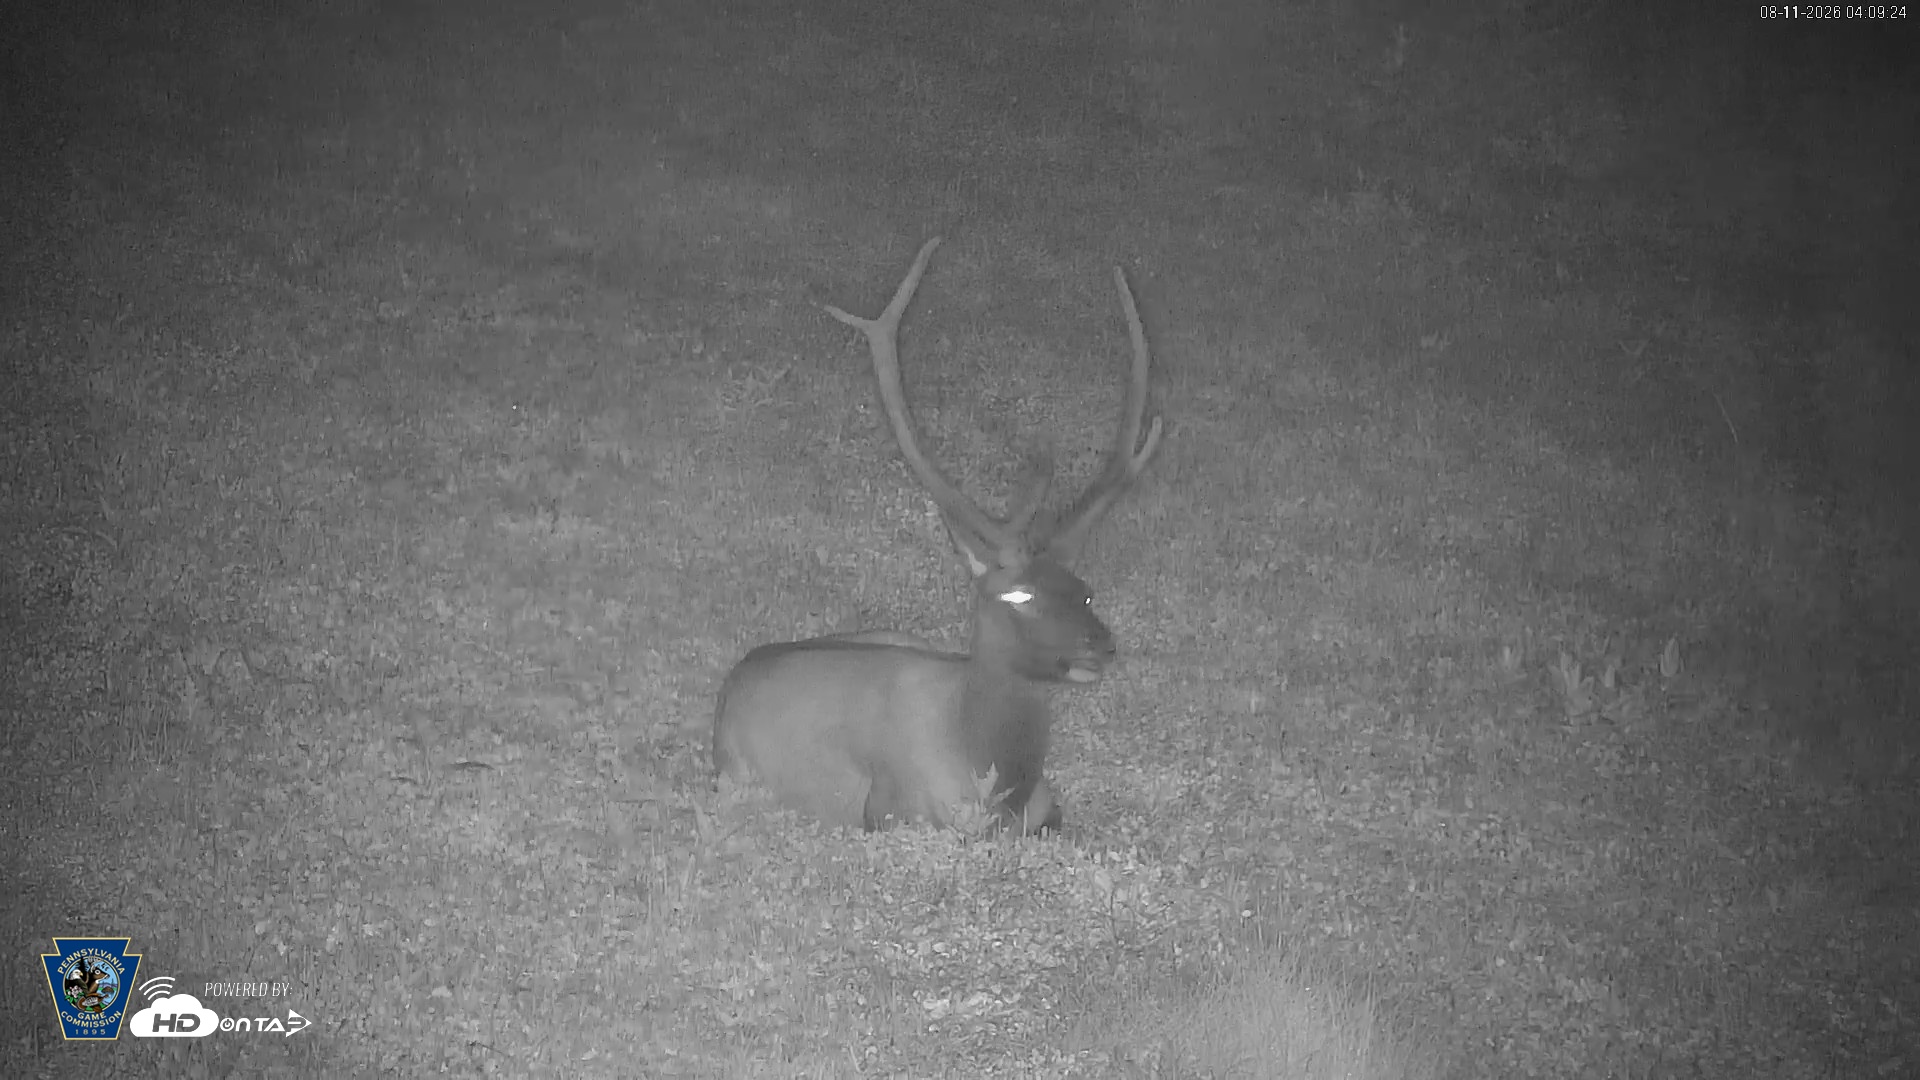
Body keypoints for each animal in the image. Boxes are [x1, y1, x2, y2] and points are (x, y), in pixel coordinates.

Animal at [711, 237, 1162, 834]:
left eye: (1084, 592)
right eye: (1020, 595)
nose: (1101, 644)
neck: (998, 779)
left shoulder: (1047, 811)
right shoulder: (892, 809)